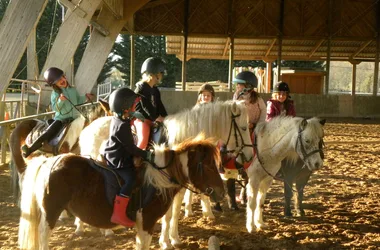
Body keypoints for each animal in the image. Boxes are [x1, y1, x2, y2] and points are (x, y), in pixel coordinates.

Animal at [17, 136, 224, 250]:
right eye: (208, 165)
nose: (221, 192)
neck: (159, 178)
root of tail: (48, 162)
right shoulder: (146, 222)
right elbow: (144, 245)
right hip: (51, 212)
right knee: (43, 235)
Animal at [75, 100, 254, 248]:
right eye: (244, 128)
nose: (250, 156)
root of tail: (89, 128)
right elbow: (167, 215)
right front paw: (165, 242)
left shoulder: (179, 187)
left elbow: (173, 214)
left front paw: (174, 239)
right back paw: (89, 229)